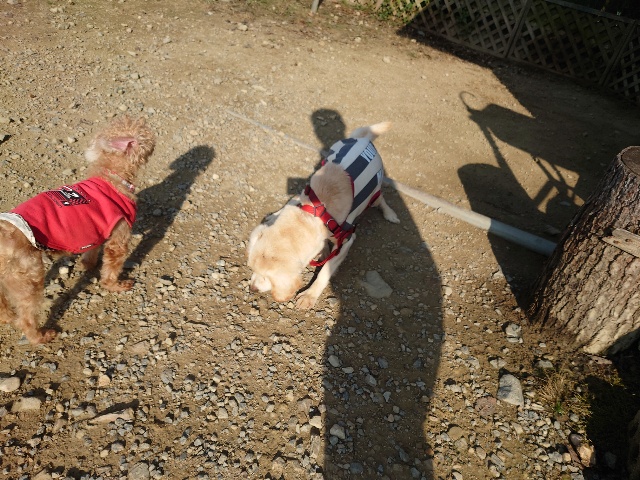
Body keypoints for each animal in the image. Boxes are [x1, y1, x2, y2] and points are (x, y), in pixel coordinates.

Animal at [0, 116, 155, 344]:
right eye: (143, 134)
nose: (155, 139)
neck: (111, 176)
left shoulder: (97, 230)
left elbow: (91, 254)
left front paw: (88, 266)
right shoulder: (119, 234)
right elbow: (112, 266)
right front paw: (116, 285)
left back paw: (7, 317)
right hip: (28, 276)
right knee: (26, 318)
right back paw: (42, 336)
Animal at [247, 121, 399, 309]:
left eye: (266, 277)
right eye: (252, 269)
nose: (252, 288)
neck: (314, 212)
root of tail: (364, 139)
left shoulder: (346, 241)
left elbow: (324, 273)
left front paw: (309, 295)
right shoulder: (304, 197)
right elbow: (292, 201)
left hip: (374, 193)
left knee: (381, 199)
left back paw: (390, 214)